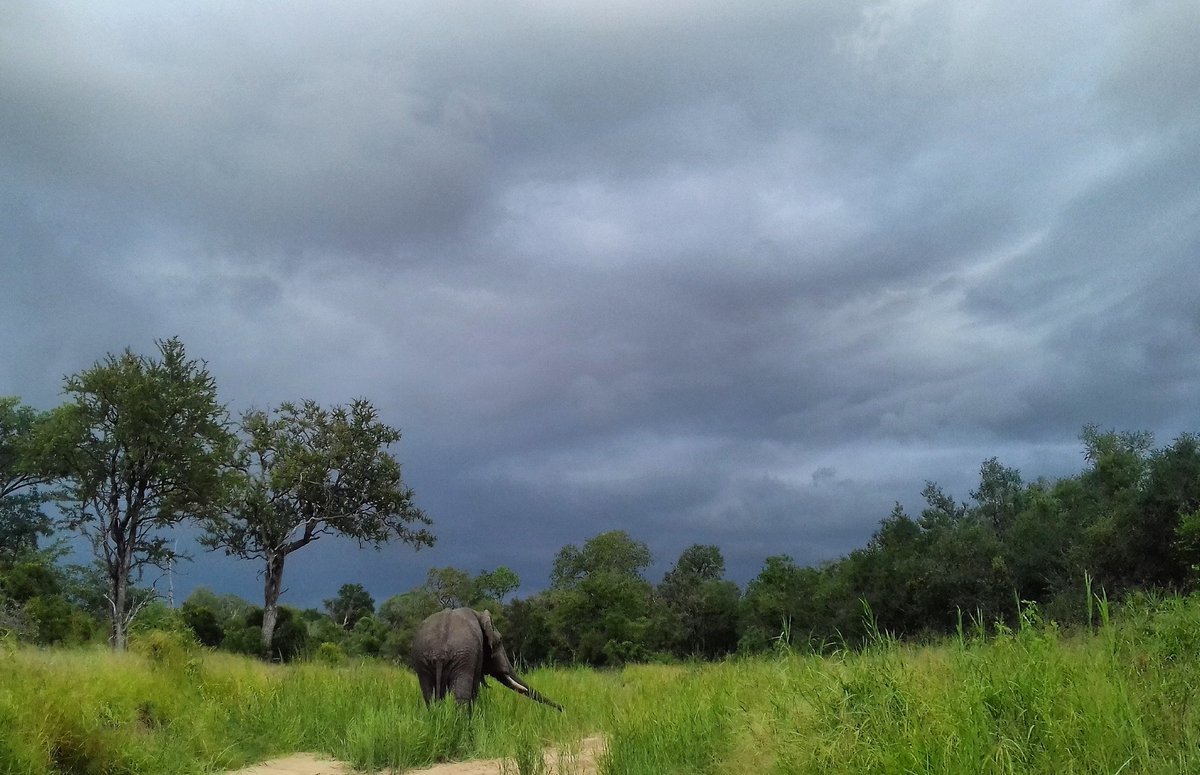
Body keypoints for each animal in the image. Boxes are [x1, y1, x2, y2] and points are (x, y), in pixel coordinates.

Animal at [409, 607, 562, 711]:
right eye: (499, 641)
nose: (562, 708)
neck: (479, 614)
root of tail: (439, 652)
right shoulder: (475, 656)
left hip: (423, 659)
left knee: (429, 695)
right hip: (462, 658)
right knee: (461, 696)